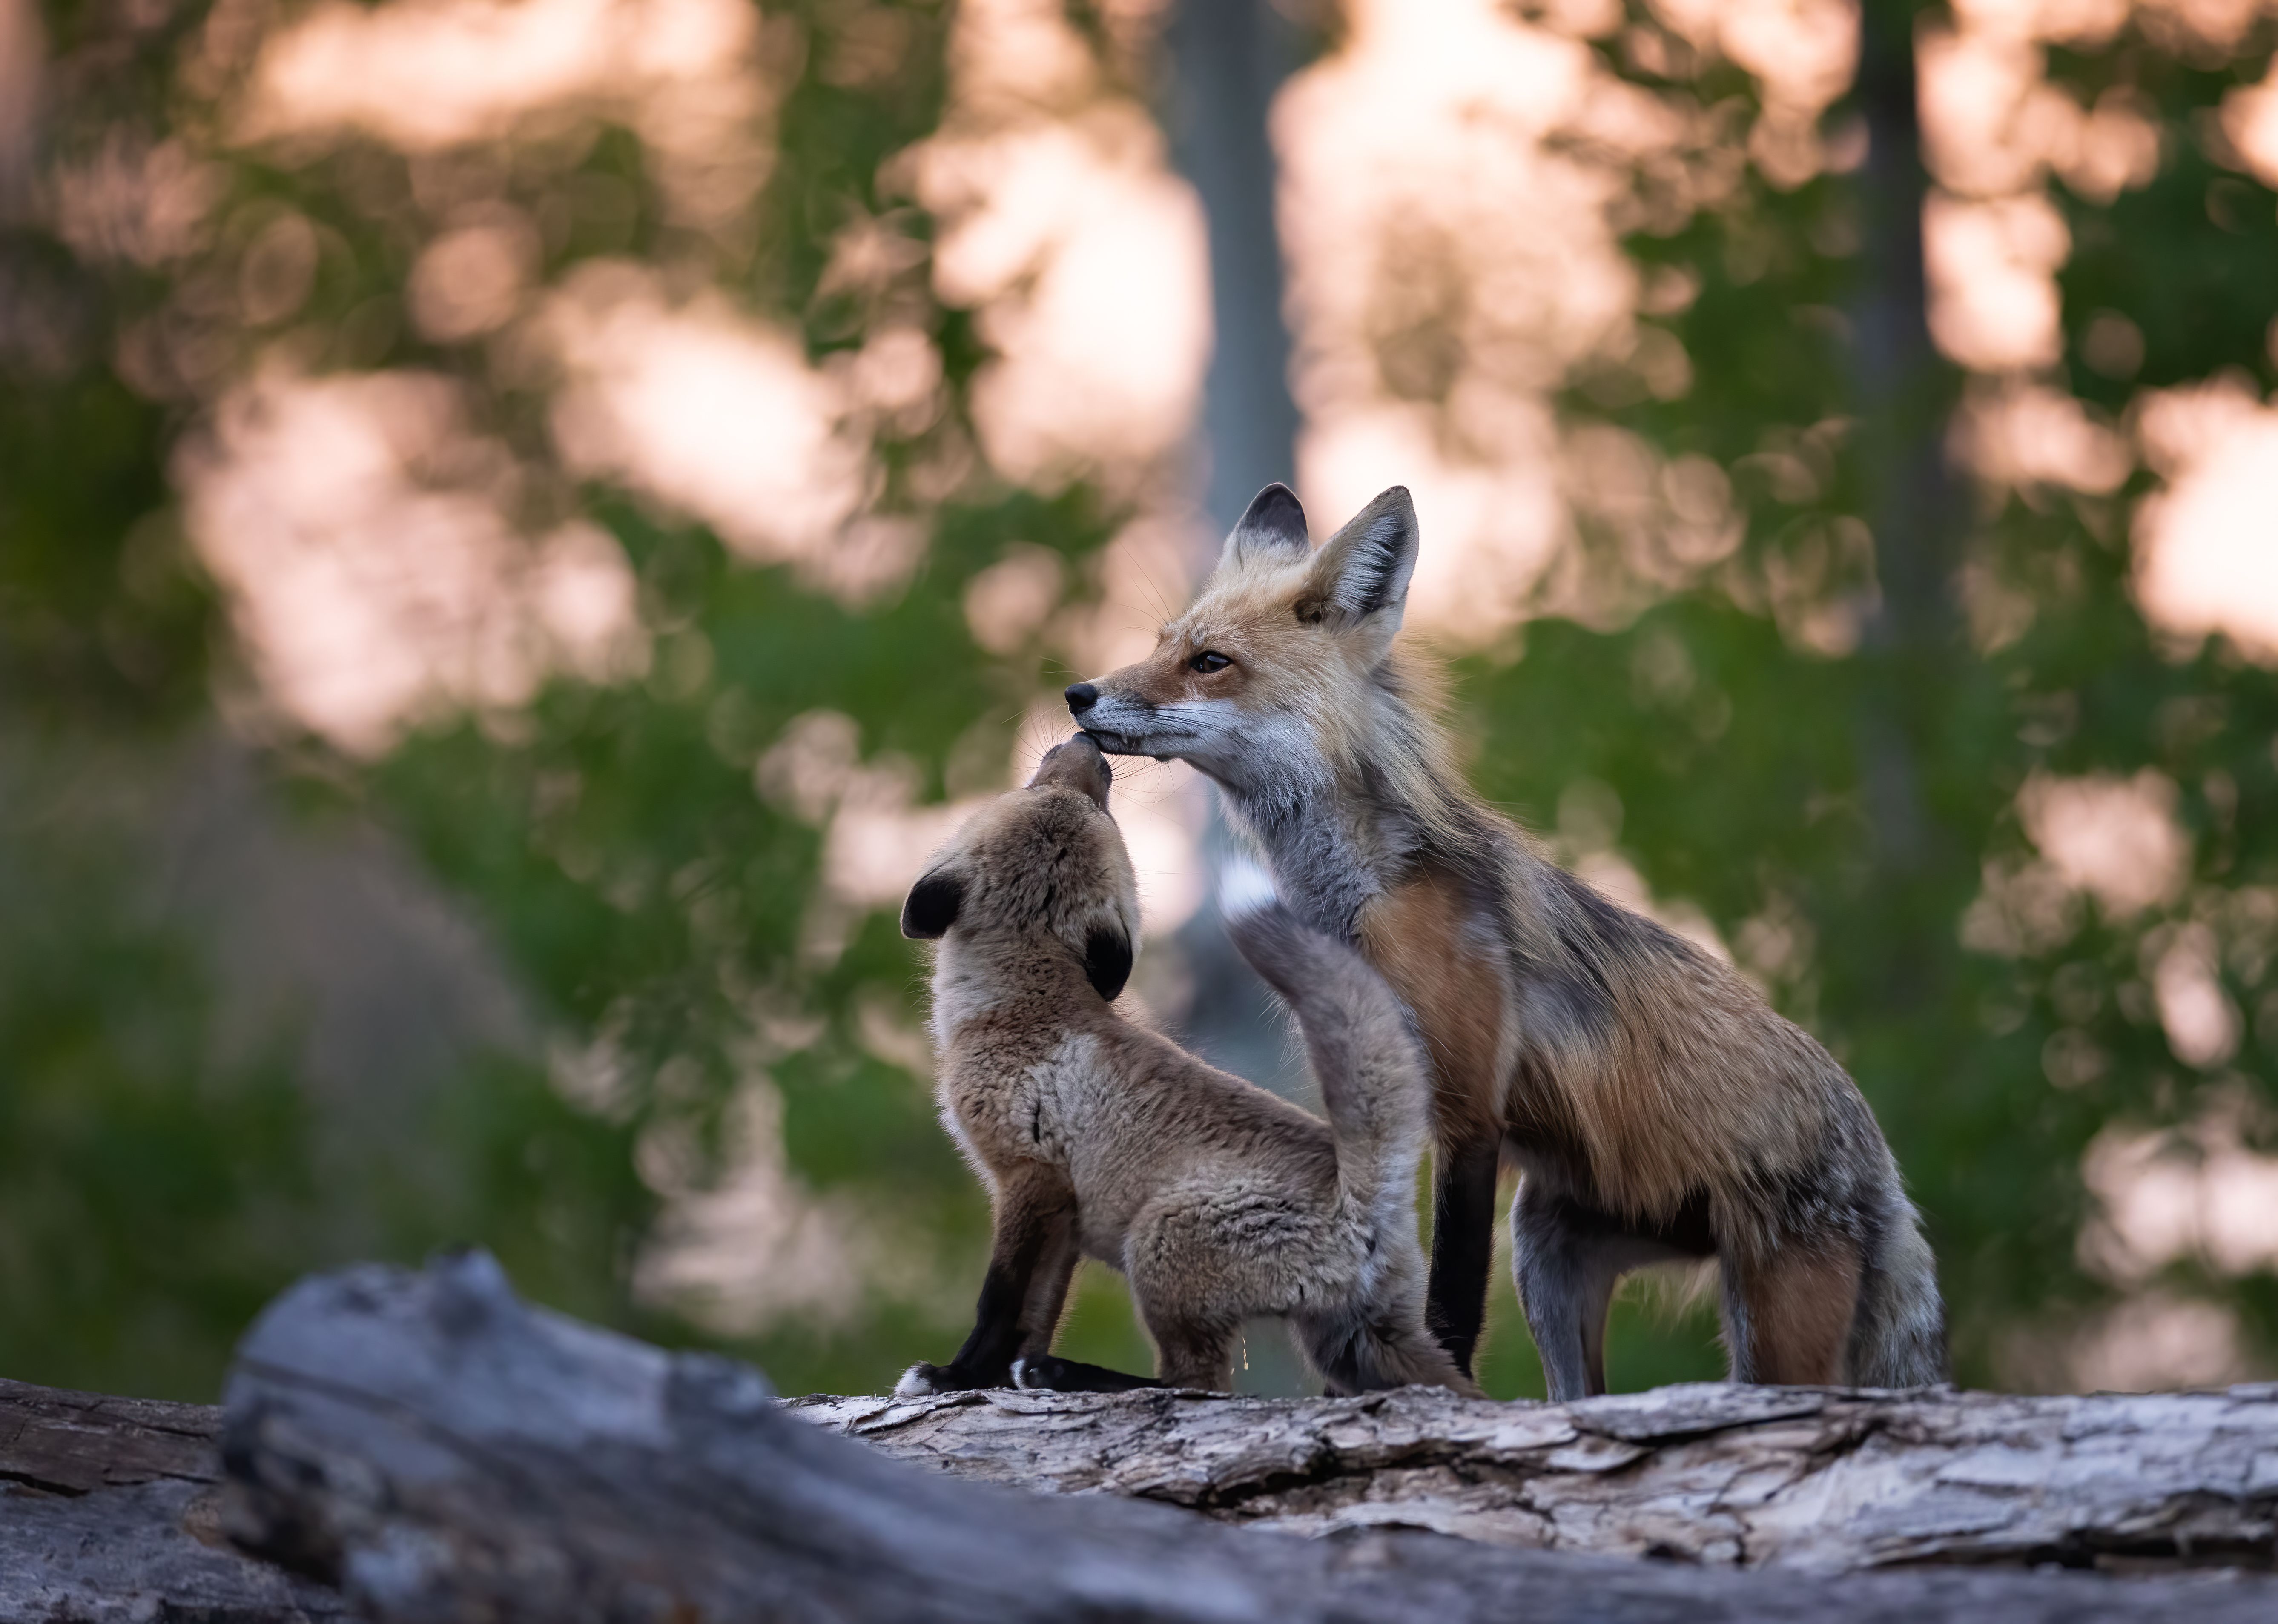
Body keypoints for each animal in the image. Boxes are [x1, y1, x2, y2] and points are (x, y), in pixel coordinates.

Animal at [893, 733, 1479, 1400]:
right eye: (1046, 787)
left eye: (1088, 804)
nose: (1085, 742)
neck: (1023, 1005)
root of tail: (1365, 1204)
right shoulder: (1062, 1214)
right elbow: (1035, 1315)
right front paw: (992, 1376)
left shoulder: (1030, 1179)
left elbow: (999, 1303)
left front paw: (956, 1375)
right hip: (1357, 1344)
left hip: (1157, 1244)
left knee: (1194, 1381)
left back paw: (1068, 1373)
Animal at [1065, 483, 1947, 1400]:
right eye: (1160, 643)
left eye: (1209, 662)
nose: (1077, 694)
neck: (1363, 899)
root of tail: (1884, 1171)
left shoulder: (1467, 1105)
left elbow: (1447, 1303)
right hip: (1549, 1252)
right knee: (1574, 1391)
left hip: (1765, 1323)